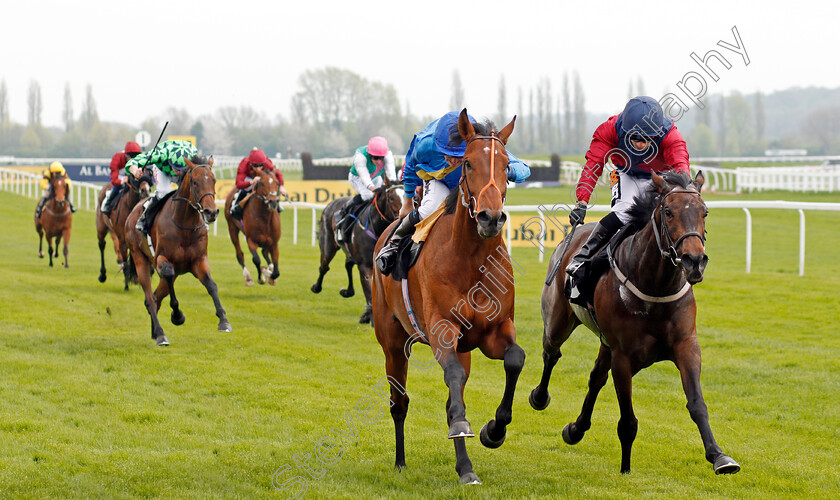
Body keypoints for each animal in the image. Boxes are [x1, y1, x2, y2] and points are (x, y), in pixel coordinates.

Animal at [124, 158, 230, 346]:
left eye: (214, 180)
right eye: (195, 182)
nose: (211, 212)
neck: (185, 224)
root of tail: (132, 212)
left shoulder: (199, 260)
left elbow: (211, 285)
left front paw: (223, 320)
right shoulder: (161, 259)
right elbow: (168, 273)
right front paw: (177, 315)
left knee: (156, 297)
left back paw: (155, 332)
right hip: (140, 258)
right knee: (150, 299)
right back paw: (160, 334)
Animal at [310, 180, 402, 324]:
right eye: (391, 197)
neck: (376, 227)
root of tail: (330, 204)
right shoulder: (365, 265)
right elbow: (368, 290)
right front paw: (368, 316)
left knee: (348, 264)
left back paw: (347, 291)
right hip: (328, 246)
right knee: (324, 267)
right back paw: (316, 287)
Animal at [370, 110, 520, 484]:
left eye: (507, 166)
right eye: (467, 163)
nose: (490, 217)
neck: (471, 261)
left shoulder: (496, 330)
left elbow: (515, 359)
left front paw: (494, 431)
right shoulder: (442, 330)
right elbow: (452, 386)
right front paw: (468, 427)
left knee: (455, 393)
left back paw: (465, 467)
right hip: (392, 341)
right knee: (400, 402)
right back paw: (401, 461)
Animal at [532, 170, 740, 474]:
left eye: (705, 212)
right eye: (668, 212)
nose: (694, 260)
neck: (655, 287)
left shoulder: (686, 346)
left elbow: (697, 404)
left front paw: (719, 456)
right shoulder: (624, 356)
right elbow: (628, 420)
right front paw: (625, 468)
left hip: (605, 342)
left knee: (595, 377)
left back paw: (576, 429)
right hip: (559, 320)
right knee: (551, 353)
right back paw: (539, 397)